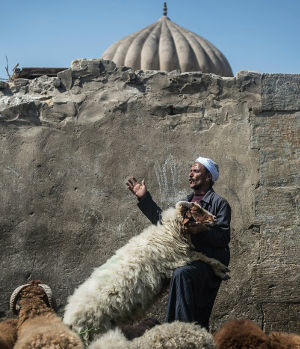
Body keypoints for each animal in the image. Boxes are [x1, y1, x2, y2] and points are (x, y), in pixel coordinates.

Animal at [63, 200, 230, 342]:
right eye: (197, 210)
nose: (215, 218)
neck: (169, 232)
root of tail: (69, 319)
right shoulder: (178, 257)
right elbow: (203, 257)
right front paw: (222, 269)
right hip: (96, 331)